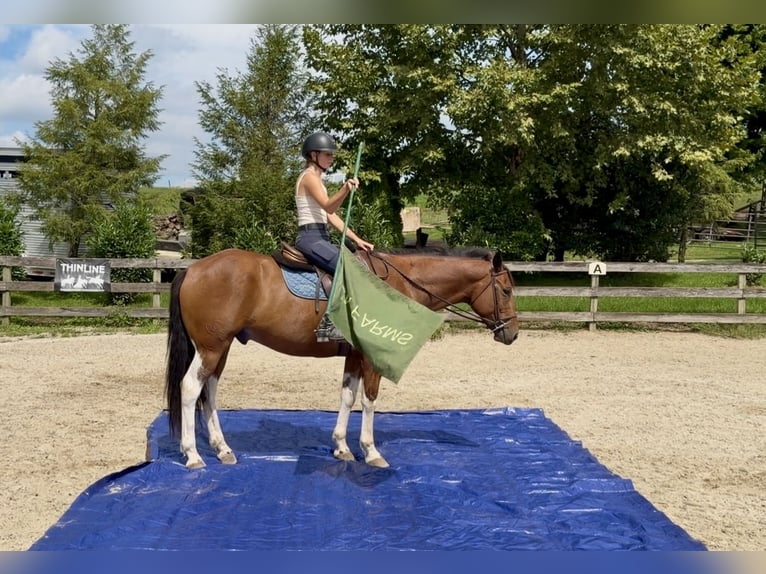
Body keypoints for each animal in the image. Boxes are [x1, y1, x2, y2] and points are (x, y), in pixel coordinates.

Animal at [165, 246, 520, 469]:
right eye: (506, 291)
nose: (512, 333)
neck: (397, 284)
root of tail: (193, 269)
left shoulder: (354, 355)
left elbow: (347, 395)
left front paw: (341, 447)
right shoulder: (372, 357)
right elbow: (369, 399)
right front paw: (370, 451)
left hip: (220, 348)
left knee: (209, 391)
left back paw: (222, 448)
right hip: (211, 347)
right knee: (190, 389)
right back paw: (193, 455)